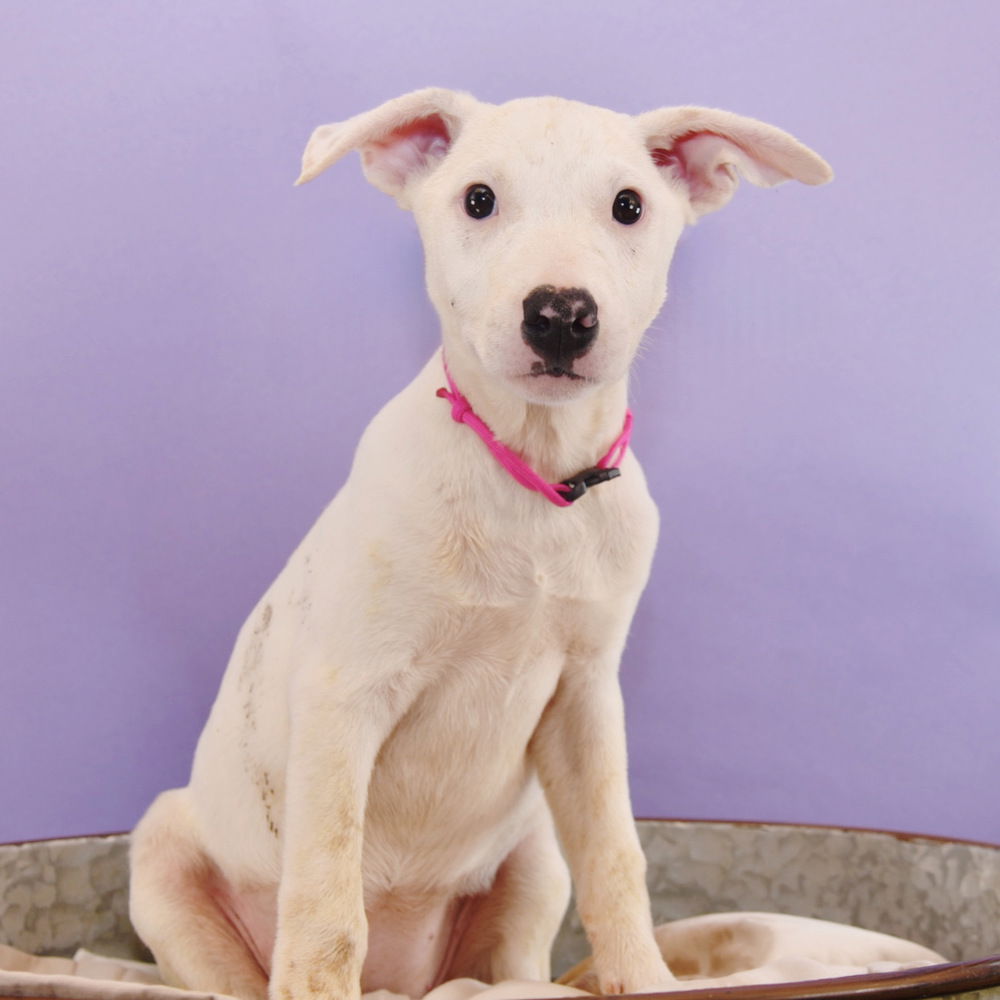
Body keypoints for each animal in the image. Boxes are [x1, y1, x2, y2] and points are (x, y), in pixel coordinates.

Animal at [129, 86, 832, 1000]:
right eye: (479, 199)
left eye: (629, 206)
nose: (561, 315)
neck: (533, 481)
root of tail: (404, 980)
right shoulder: (343, 701)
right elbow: (325, 906)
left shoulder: (585, 701)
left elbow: (617, 860)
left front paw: (643, 977)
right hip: (164, 855)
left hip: (532, 860)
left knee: (515, 964)